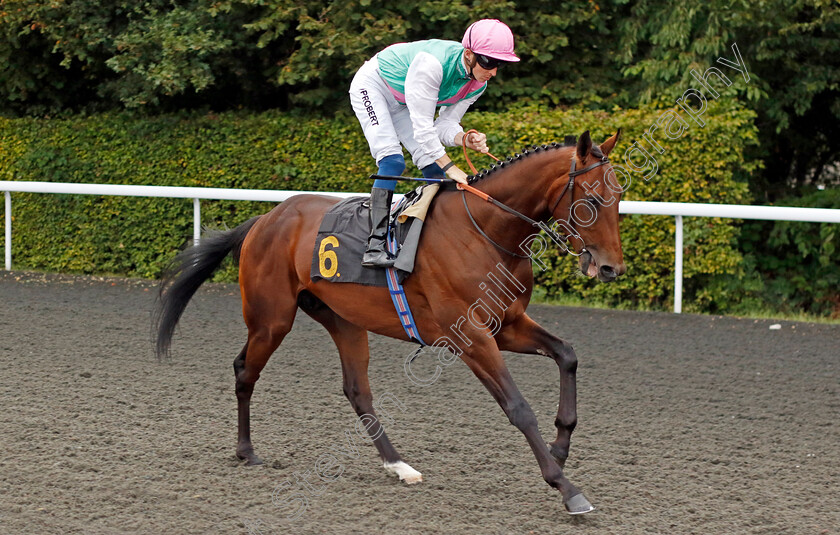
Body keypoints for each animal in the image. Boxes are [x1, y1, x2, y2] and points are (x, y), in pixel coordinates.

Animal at [154, 130, 624, 516]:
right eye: (592, 199)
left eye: (619, 198)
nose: (610, 269)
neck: (486, 232)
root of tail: (265, 219)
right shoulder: (470, 337)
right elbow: (519, 408)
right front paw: (566, 487)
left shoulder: (505, 325)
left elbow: (567, 355)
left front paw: (560, 446)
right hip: (272, 319)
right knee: (245, 371)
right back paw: (246, 450)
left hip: (343, 319)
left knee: (356, 390)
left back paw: (399, 466)